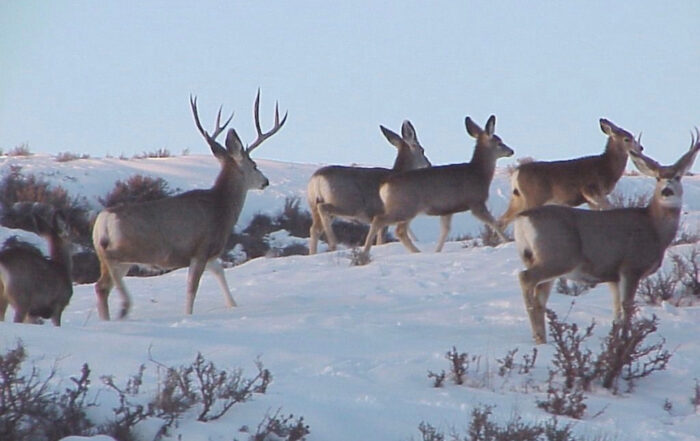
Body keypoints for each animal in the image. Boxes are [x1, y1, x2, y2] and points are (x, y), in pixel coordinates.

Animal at [92, 90, 286, 320]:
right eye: (254, 165)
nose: (266, 181)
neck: (221, 207)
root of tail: (103, 221)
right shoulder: (201, 248)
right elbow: (192, 288)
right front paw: (188, 315)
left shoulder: (210, 253)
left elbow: (219, 272)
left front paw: (233, 304)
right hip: (133, 247)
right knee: (107, 272)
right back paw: (124, 306)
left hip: (114, 257)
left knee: (102, 286)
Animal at [307, 121, 431, 254]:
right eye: (422, 150)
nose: (429, 164)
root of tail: (317, 179)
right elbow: (381, 241)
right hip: (347, 204)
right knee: (323, 209)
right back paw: (333, 243)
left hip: (315, 204)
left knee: (314, 229)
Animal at [361, 115, 514, 258]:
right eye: (499, 142)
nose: (511, 151)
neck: (479, 173)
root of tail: (384, 186)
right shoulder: (475, 202)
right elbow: (494, 222)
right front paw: (507, 241)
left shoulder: (447, 209)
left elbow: (445, 230)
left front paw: (437, 251)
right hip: (405, 207)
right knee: (382, 221)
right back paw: (367, 253)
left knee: (397, 229)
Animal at [498, 118, 644, 229]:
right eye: (627, 139)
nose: (641, 148)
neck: (606, 167)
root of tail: (516, 173)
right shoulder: (591, 190)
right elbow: (609, 207)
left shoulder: (591, 199)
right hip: (534, 197)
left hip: (518, 198)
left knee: (503, 219)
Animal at [514, 132, 699, 344]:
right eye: (658, 177)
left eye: (677, 176)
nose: (666, 191)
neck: (654, 228)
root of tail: (522, 218)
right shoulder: (631, 266)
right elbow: (627, 309)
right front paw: (626, 342)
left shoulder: (613, 276)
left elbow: (617, 313)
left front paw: (615, 339)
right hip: (558, 256)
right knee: (525, 279)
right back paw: (538, 336)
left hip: (537, 258)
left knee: (540, 298)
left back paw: (542, 340)